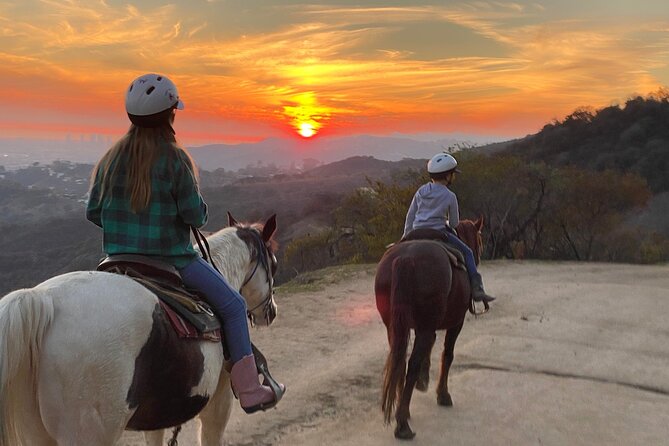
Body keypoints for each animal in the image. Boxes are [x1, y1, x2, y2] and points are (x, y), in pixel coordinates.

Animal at [0, 214, 278, 444]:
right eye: (273, 264)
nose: (271, 312)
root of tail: (43, 300)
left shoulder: (158, 411)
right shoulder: (219, 398)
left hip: (37, 433)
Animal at [374, 217, 482, 440]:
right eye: (479, 241)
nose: (477, 258)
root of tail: (405, 259)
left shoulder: (424, 326)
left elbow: (429, 347)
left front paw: (423, 381)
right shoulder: (456, 322)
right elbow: (447, 355)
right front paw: (443, 394)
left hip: (393, 326)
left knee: (400, 361)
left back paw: (402, 411)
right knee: (412, 363)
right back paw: (403, 424)